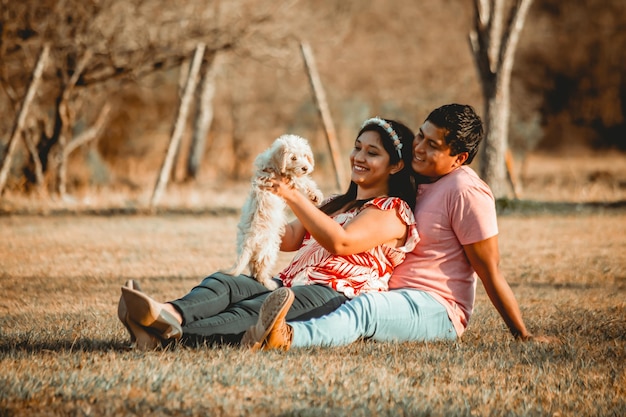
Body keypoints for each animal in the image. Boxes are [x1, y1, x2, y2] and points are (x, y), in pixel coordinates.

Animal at [225, 134, 322, 290]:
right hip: (269, 248)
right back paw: (269, 284)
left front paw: (315, 196)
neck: (274, 163)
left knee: (253, 265)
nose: (306, 168)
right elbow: (303, 180)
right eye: (293, 158)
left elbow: (304, 179)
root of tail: (247, 241)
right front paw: (316, 195)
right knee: (259, 268)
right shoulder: (288, 178)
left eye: (304, 155)